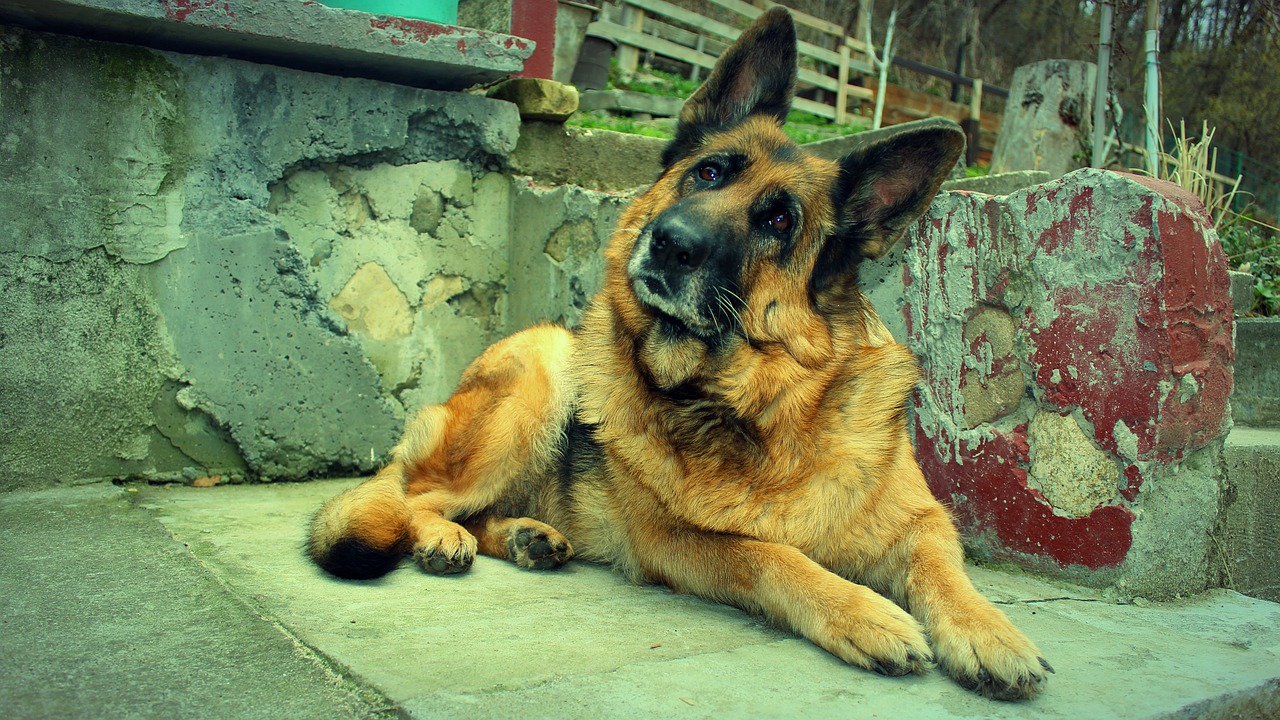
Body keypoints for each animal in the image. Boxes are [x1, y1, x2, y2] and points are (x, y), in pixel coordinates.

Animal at [309, 7, 1049, 702]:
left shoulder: (922, 520)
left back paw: (525, 535)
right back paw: (440, 535)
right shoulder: (676, 540)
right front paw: (863, 611)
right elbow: (770, 556)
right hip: (540, 375)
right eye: (708, 172)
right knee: (411, 493)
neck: (759, 409)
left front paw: (991, 633)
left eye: (779, 220)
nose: (670, 242)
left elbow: (944, 569)